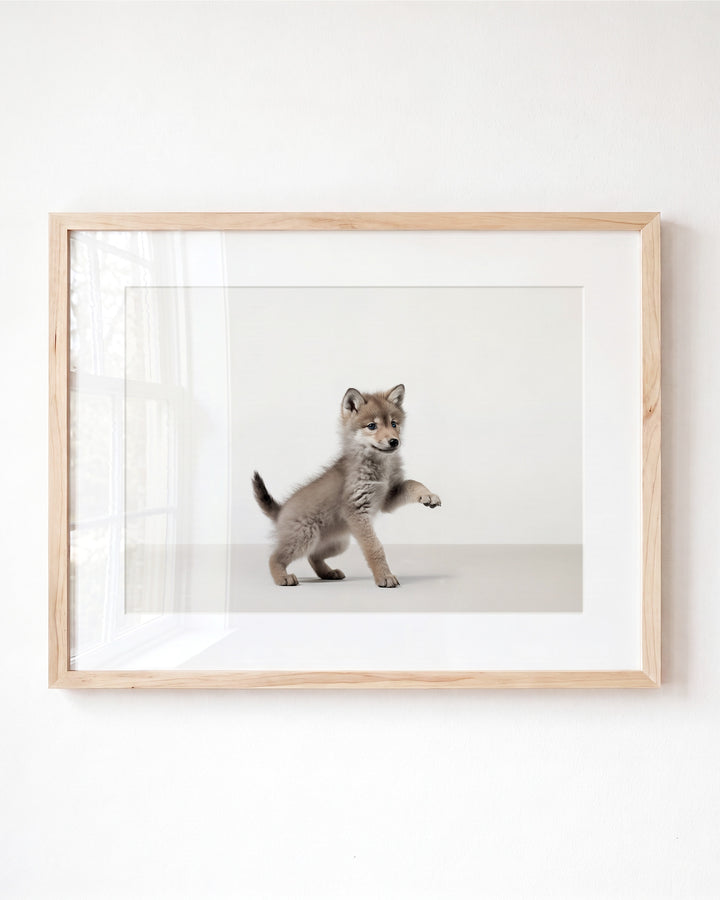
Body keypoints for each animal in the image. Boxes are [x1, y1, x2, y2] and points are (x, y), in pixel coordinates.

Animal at [252, 384, 441, 587]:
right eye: (372, 426)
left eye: (393, 424)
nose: (394, 441)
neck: (379, 466)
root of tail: (280, 510)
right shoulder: (357, 511)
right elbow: (374, 547)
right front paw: (384, 576)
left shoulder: (388, 497)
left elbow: (413, 483)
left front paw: (428, 495)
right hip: (305, 538)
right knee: (275, 557)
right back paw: (282, 577)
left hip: (338, 544)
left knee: (313, 556)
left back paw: (328, 573)